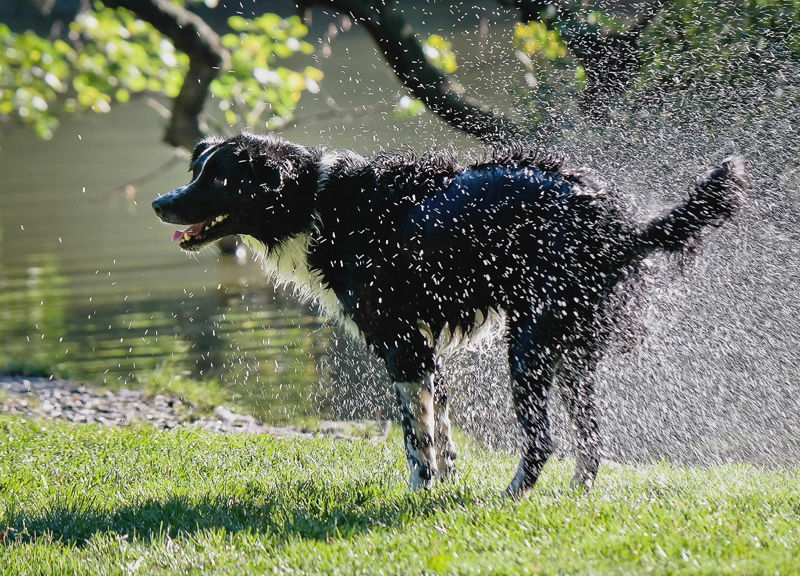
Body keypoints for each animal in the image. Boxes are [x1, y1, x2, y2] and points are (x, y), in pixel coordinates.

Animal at [152, 134, 744, 496]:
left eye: (217, 179)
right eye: (197, 171)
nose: (160, 203)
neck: (320, 203)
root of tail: (620, 224)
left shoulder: (401, 344)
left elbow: (416, 438)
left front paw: (422, 491)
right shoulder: (422, 347)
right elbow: (439, 425)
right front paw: (446, 479)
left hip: (528, 347)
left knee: (543, 441)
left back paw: (511, 497)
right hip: (571, 356)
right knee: (591, 442)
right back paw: (574, 496)